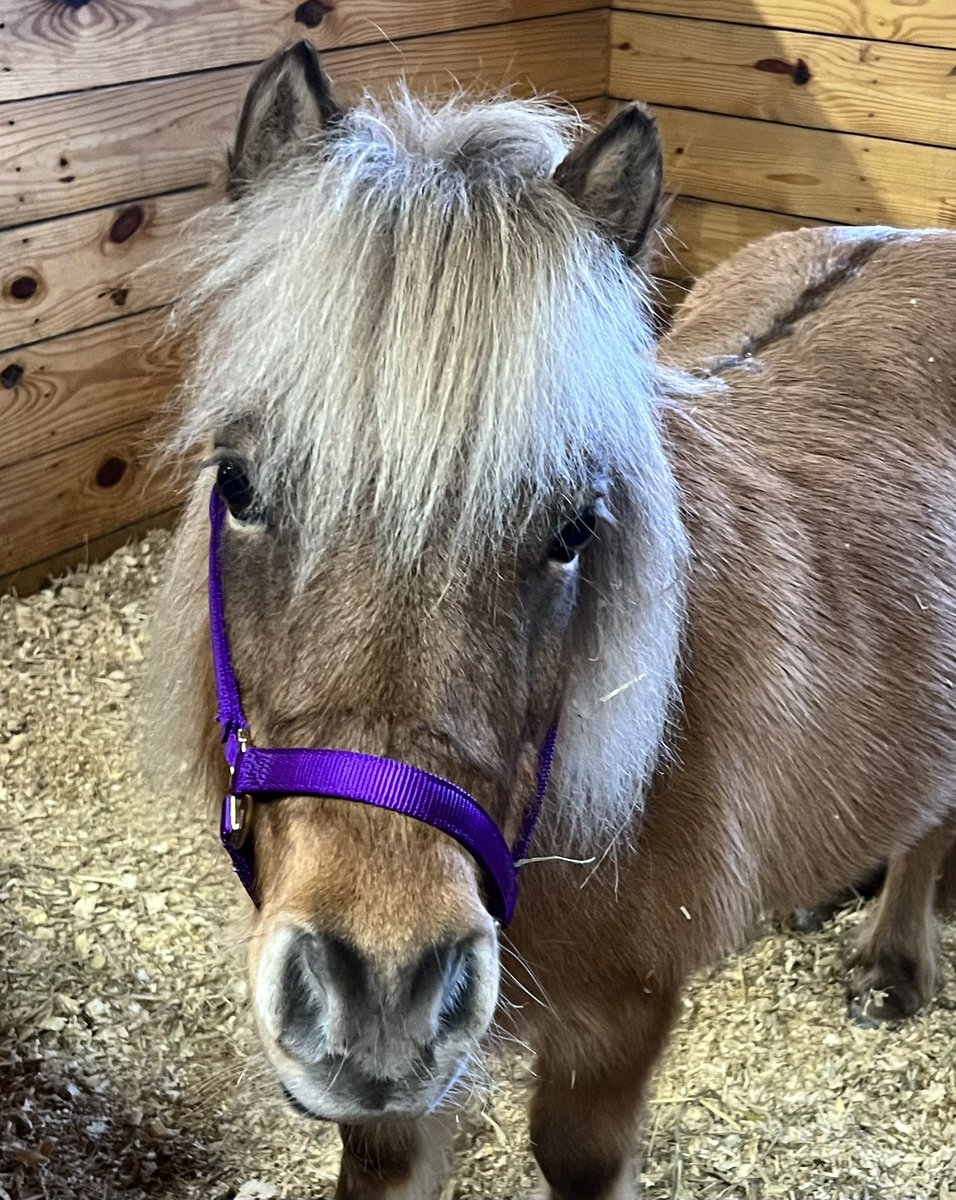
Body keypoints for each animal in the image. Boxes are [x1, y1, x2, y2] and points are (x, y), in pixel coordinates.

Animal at [150, 40, 956, 1200]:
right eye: (240, 485)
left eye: (573, 528)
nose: (378, 991)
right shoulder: (396, 1120)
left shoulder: (615, 1039)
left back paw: (892, 962)